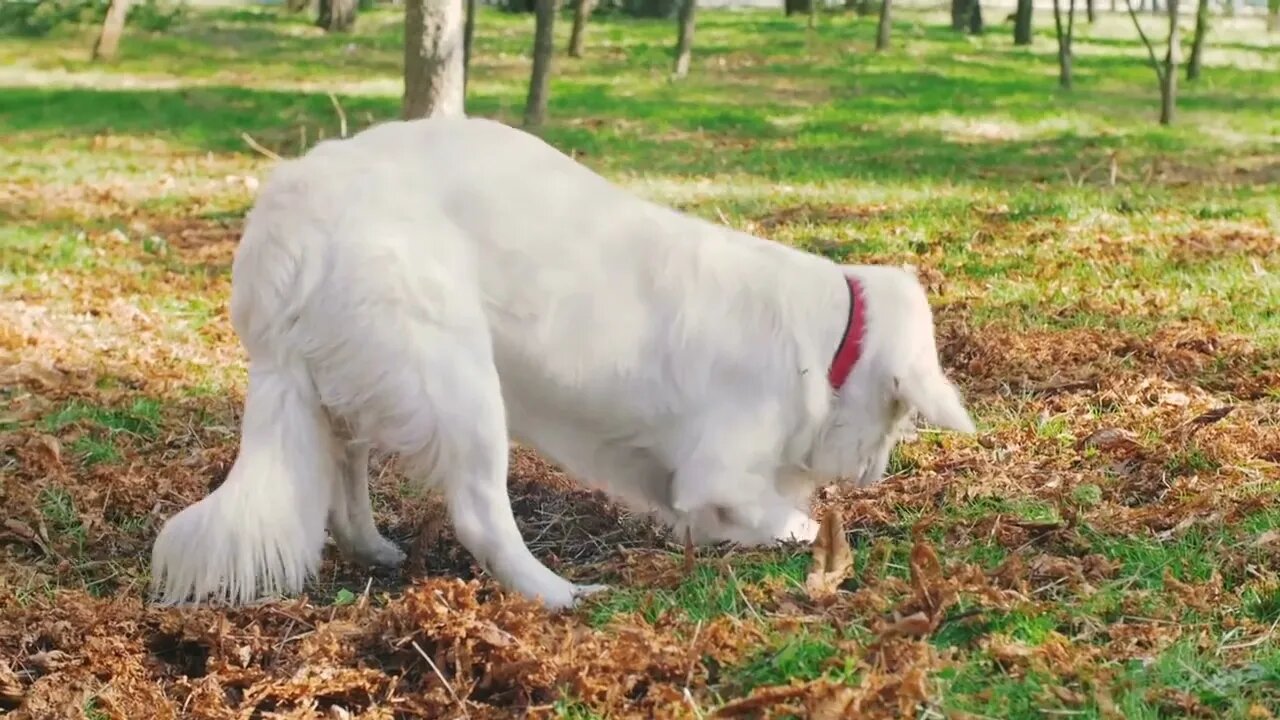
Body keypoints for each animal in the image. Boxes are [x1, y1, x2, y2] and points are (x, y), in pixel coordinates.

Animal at [147, 114, 967, 607]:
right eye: (899, 417)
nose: (874, 475)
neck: (829, 344)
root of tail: (287, 223)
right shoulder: (717, 471)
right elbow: (777, 511)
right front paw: (811, 532)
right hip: (459, 384)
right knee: (480, 516)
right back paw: (560, 595)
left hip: (355, 380)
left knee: (344, 473)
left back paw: (375, 547)